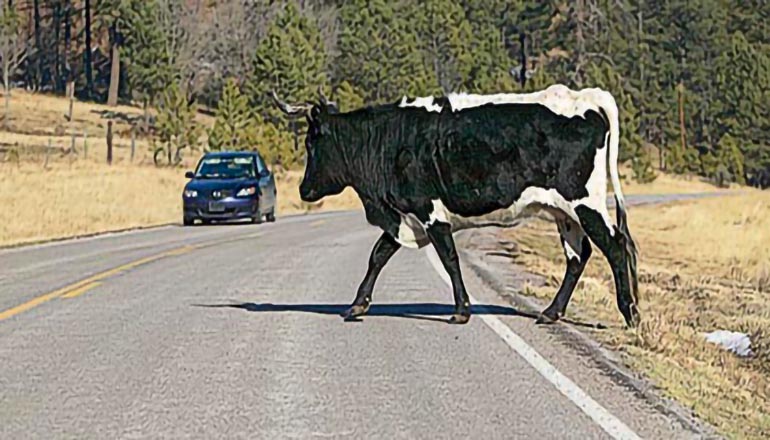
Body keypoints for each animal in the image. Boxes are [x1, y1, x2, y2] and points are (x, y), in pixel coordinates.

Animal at [272, 84, 640, 328]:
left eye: (311, 142)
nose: (304, 189)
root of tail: (586, 96)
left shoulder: (429, 212)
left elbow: (448, 258)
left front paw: (462, 309)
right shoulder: (405, 215)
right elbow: (378, 255)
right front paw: (357, 305)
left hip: (585, 203)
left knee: (614, 246)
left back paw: (631, 313)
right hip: (564, 212)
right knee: (579, 256)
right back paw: (551, 312)